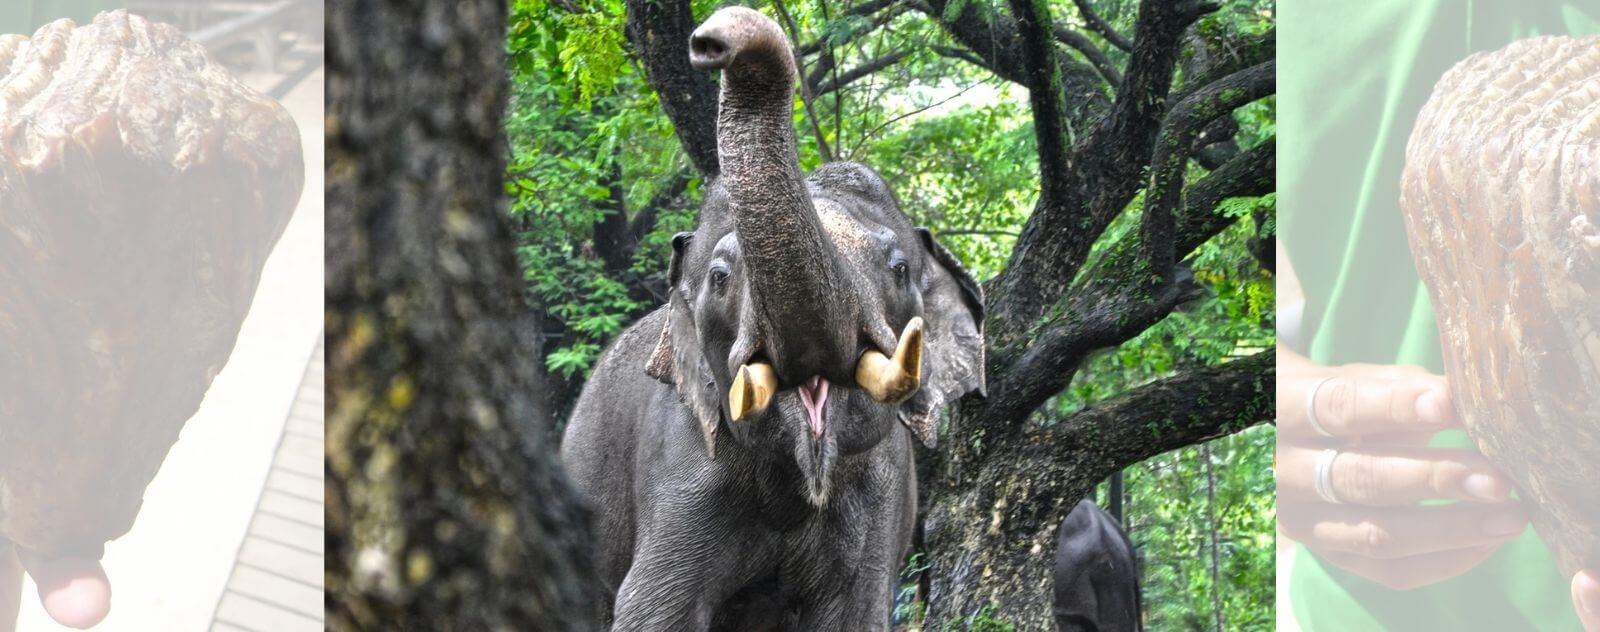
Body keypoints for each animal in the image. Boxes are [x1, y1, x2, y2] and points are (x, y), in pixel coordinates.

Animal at [563, 6, 985, 632]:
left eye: (900, 268)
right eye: (720, 278)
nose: (707, 42)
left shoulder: (880, 496)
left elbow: (854, 615)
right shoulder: (685, 466)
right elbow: (653, 612)